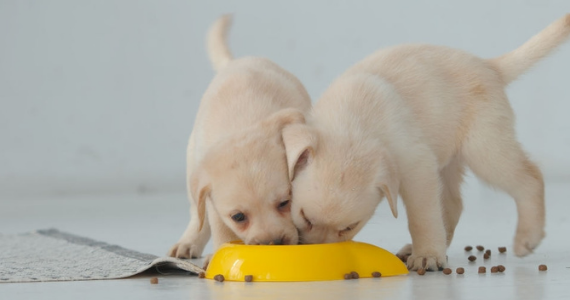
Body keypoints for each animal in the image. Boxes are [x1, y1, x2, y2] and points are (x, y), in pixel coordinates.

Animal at [169, 15, 310, 262]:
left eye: (285, 203)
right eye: (238, 217)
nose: (273, 243)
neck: (244, 125)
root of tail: (233, 62)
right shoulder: (213, 202)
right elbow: (220, 229)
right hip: (192, 167)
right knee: (197, 216)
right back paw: (187, 242)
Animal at [284, 15, 568, 270]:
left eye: (348, 227)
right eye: (305, 219)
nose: (318, 256)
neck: (353, 125)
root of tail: (488, 66)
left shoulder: (416, 168)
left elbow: (422, 217)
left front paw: (428, 255)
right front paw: (429, 252)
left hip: (485, 149)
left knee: (529, 177)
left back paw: (527, 237)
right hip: (448, 160)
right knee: (453, 205)